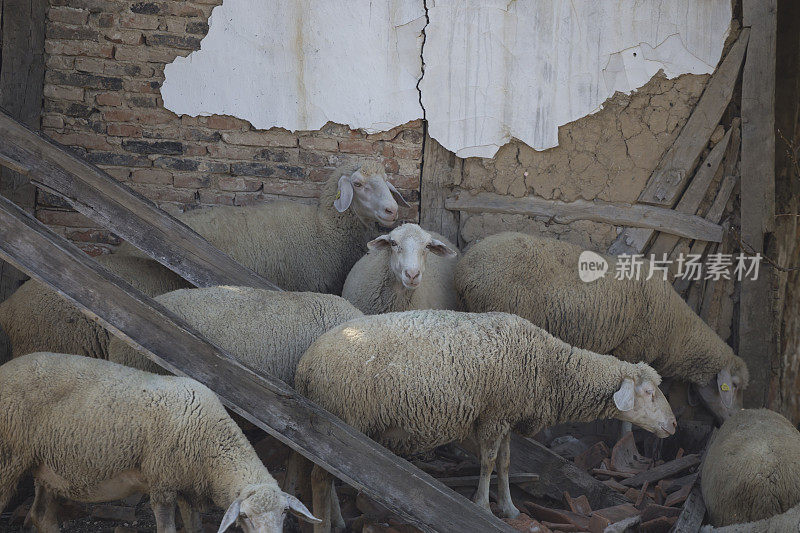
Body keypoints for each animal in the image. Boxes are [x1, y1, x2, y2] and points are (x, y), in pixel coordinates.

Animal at [0, 352, 318, 528]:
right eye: (247, 517)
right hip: (7, 459)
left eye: (285, 515)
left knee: (41, 515)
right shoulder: (162, 484)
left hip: (47, 466)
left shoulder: (188, 487)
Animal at [294, 308, 676, 528]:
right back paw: (324, 524)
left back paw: (335, 519)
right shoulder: (492, 417)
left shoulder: (504, 414)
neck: (549, 367)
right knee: (320, 477)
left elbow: (505, 463)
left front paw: (509, 508)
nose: (674, 425)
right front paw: (482, 508)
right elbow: (488, 462)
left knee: (319, 470)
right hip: (342, 416)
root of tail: (306, 364)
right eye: (648, 392)